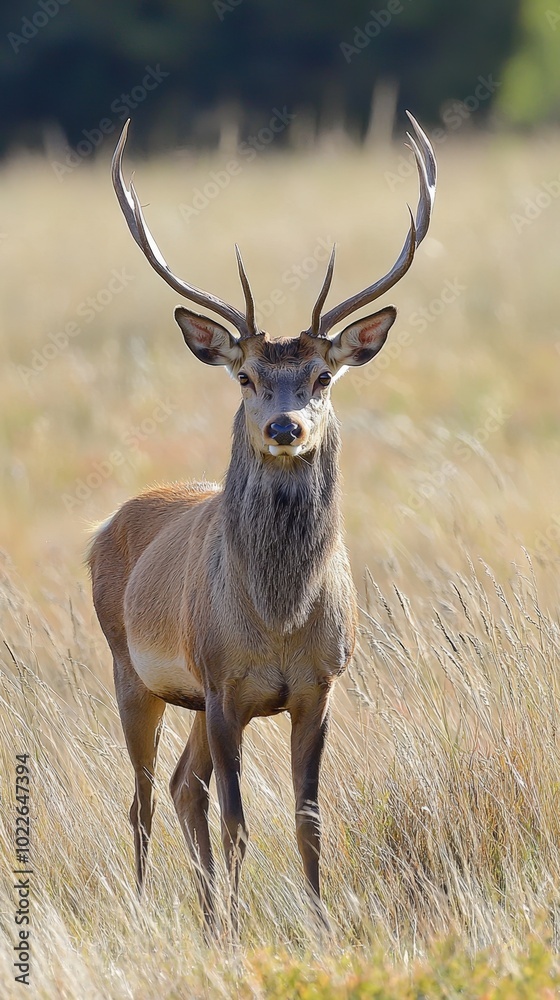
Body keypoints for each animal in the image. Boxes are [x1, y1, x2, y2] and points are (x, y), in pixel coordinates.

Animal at [88, 113, 436, 938]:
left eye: (322, 376)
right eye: (246, 376)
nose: (284, 426)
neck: (278, 619)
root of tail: (105, 526)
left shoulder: (320, 684)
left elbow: (309, 819)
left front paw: (318, 925)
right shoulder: (222, 683)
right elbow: (239, 821)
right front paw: (241, 932)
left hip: (187, 696)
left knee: (182, 787)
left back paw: (208, 915)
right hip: (132, 670)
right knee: (145, 800)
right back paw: (152, 910)